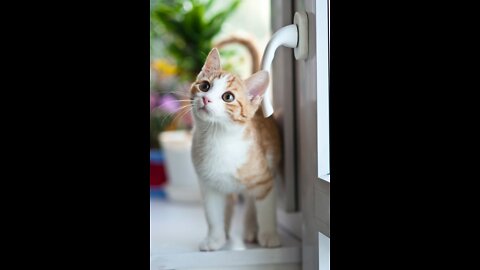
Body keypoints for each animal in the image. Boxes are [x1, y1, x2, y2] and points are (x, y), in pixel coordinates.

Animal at [190, 48, 284, 251]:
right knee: (231, 202)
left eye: (228, 97)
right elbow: (213, 215)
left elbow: (265, 210)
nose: (206, 98)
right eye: (204, 86)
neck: (218, 139)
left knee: (250, 202)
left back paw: (251, 228)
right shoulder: (209, 185)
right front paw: (215, 238)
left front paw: (269, 235)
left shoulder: (265, 181)